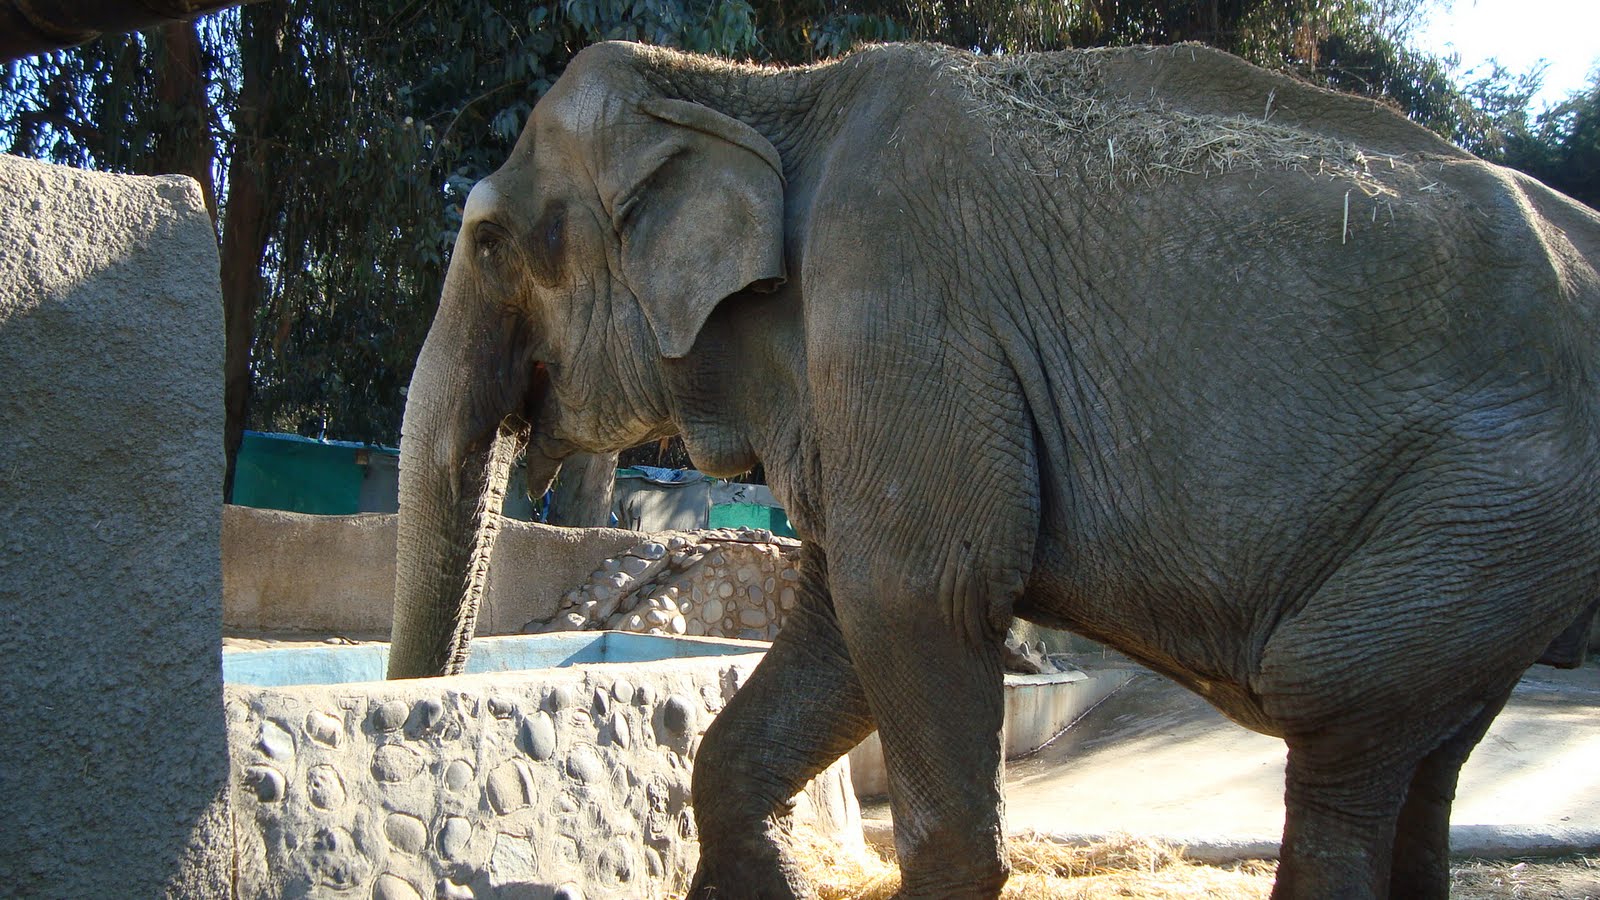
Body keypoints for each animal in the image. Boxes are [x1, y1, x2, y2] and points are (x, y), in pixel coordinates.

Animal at [390, 40, 1600, 896]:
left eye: (490, 242)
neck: (761, 94)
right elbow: (832, 632)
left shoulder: (902, 315)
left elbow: (915, 597)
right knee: (1425, 758)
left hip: (1493, 498)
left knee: (1335, 713)